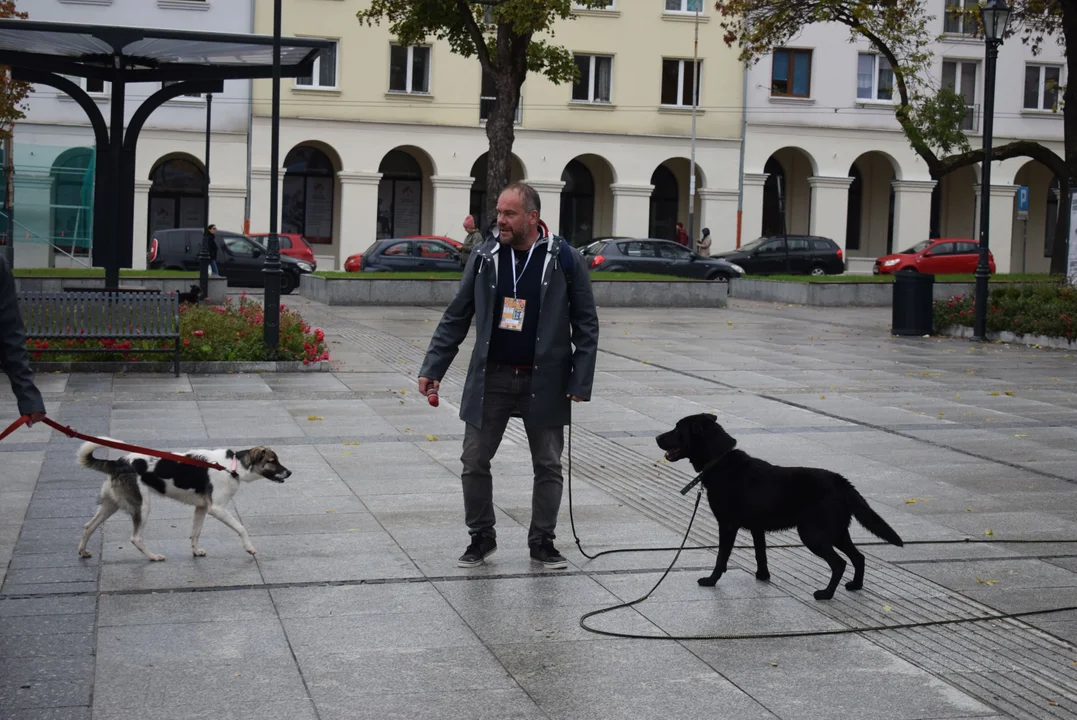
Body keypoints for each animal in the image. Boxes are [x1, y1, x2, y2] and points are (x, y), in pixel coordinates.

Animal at [77, 439, 290, 559]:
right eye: (272, 461)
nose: (290, 473)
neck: (232, 466)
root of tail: (118, 463)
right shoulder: (217, 509)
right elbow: (241, 528)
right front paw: (249, 548)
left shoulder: (201, 508)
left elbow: (195, 532)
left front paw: (196, 552)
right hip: (142, 506)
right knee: (136, 538)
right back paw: (153, 557)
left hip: (110, 505)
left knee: (88, 526)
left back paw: (83, 551)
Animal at [654, 413, 900, 598]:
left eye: (678, 429)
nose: (656, 437)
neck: (719, 460)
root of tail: (842, 482)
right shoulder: (757, 528)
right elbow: (760, 554)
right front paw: (763, 577)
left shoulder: (727, 525)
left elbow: (721, 557)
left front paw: (711, 580)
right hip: (837, 531)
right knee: (859, 557)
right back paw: (856, 586)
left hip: (813, 534)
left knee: (839, 563)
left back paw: (826, 594)